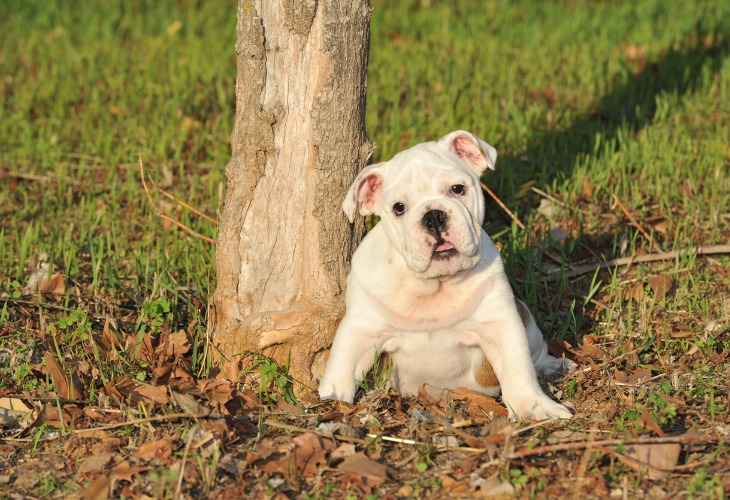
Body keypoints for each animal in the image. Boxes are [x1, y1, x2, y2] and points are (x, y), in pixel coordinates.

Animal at [318, 131, 576, 420]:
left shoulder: (500, 324)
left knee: (536, 351)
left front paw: (533, 406)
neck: (435, 285)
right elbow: (341, 368)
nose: (433, 216)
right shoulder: (360, 330)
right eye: (399, 207)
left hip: (527, 321)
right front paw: (330, 402)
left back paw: (553, 365)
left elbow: (518, 368)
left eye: (457, 189)